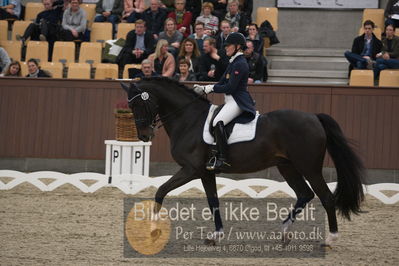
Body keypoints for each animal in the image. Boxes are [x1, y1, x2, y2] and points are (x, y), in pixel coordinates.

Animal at [121, 77, 366, 247]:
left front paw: (153, 230)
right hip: (287, 166)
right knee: (305, 194)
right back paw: (284, 232)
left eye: (139, 105)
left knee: (326, 197)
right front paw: (216, 236)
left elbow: (161, 191)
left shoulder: (191, 169)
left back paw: (330, 239)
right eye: (131, 107)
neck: (189, 119)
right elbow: (213, 201)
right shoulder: (206, 172)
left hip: (309, 167)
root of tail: (314, 117)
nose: (144, 136)